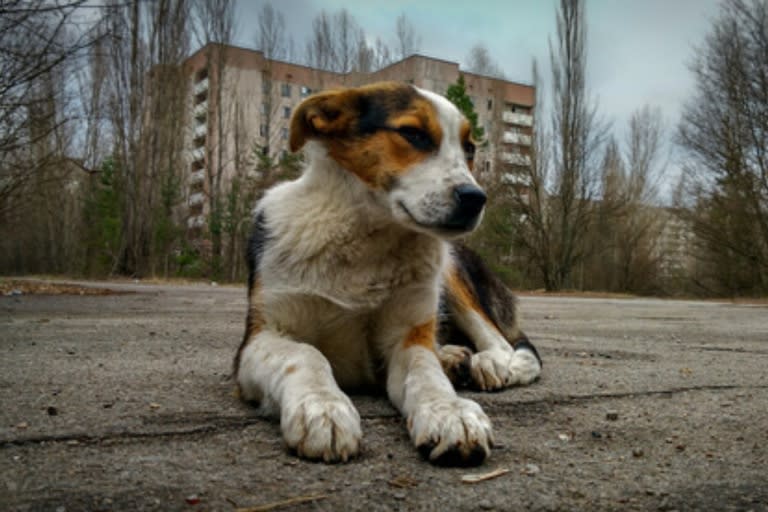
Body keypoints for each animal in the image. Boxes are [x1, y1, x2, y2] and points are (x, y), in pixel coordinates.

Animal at [234, 82, 540, 466]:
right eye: (413, 134)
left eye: (469, 148)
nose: (475, 198)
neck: (366, 239)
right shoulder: (259, 338)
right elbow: (304, 354)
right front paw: (322, 407)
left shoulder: (406, 338)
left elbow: (426, 374)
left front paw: (450, 410)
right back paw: (454, 357)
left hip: (450, 267)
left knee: (502, 342)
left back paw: (491, 364)